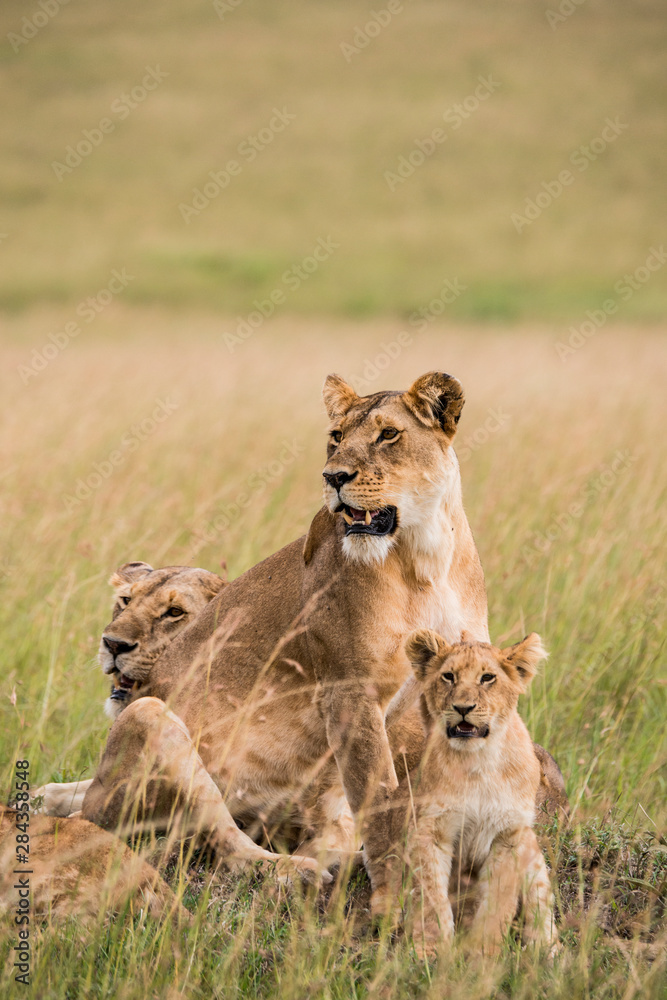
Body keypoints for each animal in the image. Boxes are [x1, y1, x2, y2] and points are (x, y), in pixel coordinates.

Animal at [80, 372, 562, 901]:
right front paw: (398, 893)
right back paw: (293, 870)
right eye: (336, 437)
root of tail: (91, 800)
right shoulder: (348, 690)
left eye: (388, 435)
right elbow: (381, 798)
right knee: (222, 839)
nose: (333, 477)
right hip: (147, 723)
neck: (423, 555)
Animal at [375, 629, 559, 958]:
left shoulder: (509, 837)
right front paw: (430, 951)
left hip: (532, 851)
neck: (479, 762)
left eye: (487, 678)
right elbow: (432, 896)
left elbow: (498, 902)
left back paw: (545, 954)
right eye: (448, 676)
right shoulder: (429, 830)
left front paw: (483, 954)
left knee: (542, 906)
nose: (463, 708)